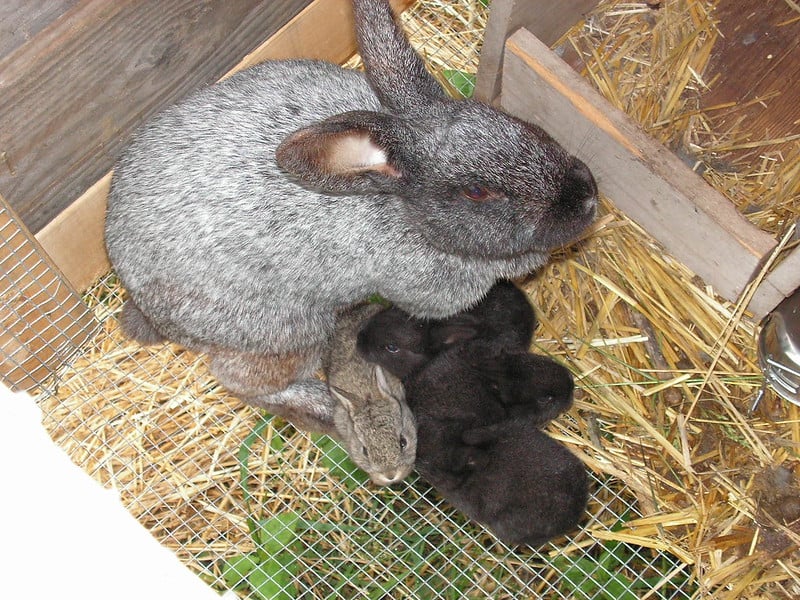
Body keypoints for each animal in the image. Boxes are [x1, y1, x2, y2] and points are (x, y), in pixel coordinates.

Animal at [105, 0, 597, 432]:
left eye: (523, 126)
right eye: (477, 191)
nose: (588, 197)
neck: (400, 205)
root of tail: (142, 301)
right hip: (287, 333)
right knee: (241, 379)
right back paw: (323, 407)